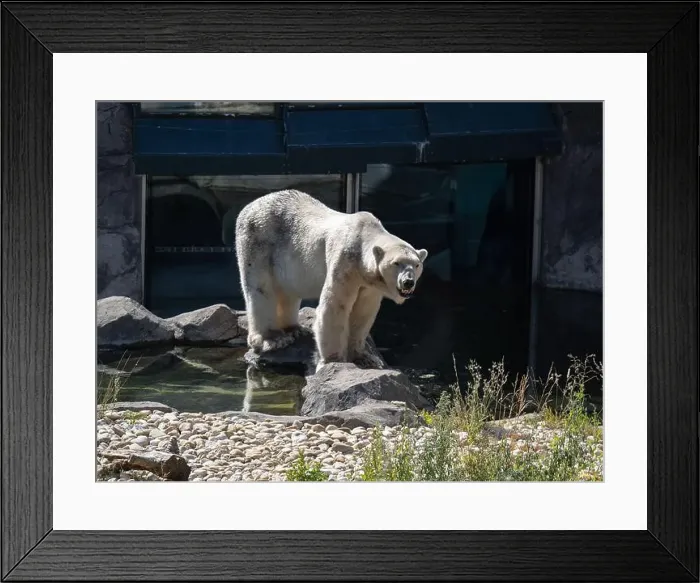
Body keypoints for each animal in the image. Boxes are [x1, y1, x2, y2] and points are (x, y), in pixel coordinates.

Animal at [234, 189, 428, 372]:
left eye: (416, 264)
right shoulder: (345, 262)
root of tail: (248, 206)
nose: (408, 282)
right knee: (261, 289)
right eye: (396, 263)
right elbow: (335, 307)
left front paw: (365, 358)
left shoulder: (368, 283)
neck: (362, 236)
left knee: (288, 291)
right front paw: (332, 361)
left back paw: (295, 329)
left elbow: (363, 312)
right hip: (259, 241)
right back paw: (272, 338)